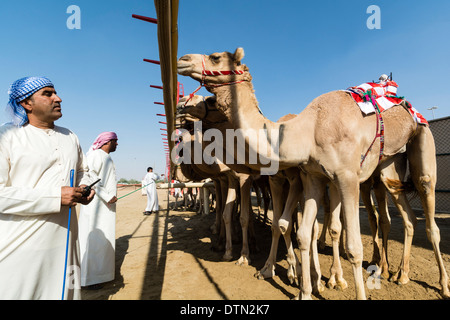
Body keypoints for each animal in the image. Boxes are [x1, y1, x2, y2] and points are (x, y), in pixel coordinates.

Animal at [178, 48, 448, 300]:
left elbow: (352, 246)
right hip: (388, 165)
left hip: (421, 136)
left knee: (427, 204)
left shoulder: (346, 177)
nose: (183, 60)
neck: (308, 131)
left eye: (215, 57)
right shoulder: (313, 179)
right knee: (407, 215)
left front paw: (325, 281)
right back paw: (400, 274)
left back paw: (440, 284)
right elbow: (303, 233)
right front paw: (305, 290)